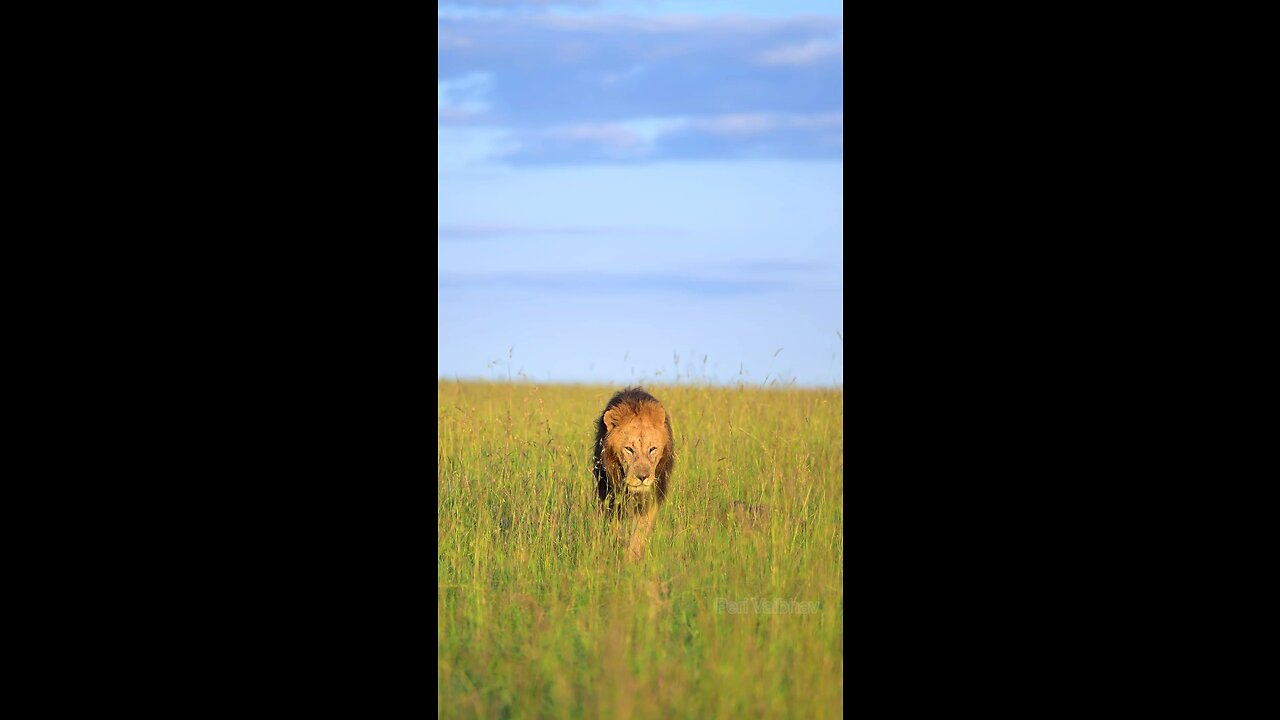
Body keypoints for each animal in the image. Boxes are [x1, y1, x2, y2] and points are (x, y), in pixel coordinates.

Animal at [593, 384, 675, 558]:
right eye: (629, 449)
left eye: (652, 449)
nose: (642, 477)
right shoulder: (611, 497)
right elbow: (615, 528)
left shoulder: (651, 498)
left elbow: (640, 531)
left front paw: (633, 557)